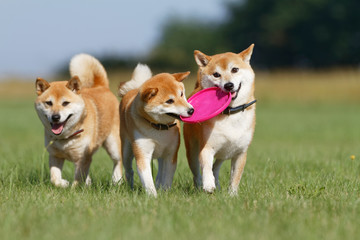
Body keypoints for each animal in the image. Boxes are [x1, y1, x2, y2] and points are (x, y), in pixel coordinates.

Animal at [35, 54, 122, 188]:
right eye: (49, 103)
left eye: (65, 103)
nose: (56, 117)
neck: (66, 138)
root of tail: (101, 86)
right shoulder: (55, 155)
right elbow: (54, 179)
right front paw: (64, 183)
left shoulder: (83, 157)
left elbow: (78, 179)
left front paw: (74, 189)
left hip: (113, 145)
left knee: (118, 161)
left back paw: (116, 180)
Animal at [119, 64, 194, 197]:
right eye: (169, 101)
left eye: (181, 94)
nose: (191, 110)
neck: (159, 128)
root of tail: (132, 90)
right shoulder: (143, 153)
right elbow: (147, 179)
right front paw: (153, 196)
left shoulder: (171, 154)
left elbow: (167, 177)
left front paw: (165, 192)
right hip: (126, 151)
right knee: (129, 171)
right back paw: (130, 187)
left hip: (161, 153)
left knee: (160, 171)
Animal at [184, 44, 258, 195]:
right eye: (216, 74)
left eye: (235, 69)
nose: (229, 85)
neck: (229, 113)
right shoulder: (207, 147)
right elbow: (206, 168)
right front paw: (208, 184)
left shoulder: (240, 153)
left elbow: (235, 177)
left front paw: (232, 195)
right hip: (192, 151)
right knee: (197, 173)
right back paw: (200, 186)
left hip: (224, 153)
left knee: (216, 167)